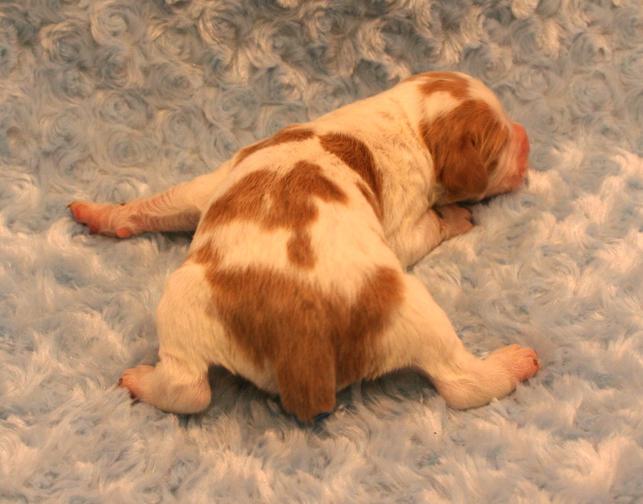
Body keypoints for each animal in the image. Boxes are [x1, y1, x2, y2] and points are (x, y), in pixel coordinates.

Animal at [69, 71, 538, 422]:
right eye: (499, 143)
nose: (526, 135)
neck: (409, 120)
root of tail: (304, 339)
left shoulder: (214, 180)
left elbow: (168, 200)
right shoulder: (404, 222)